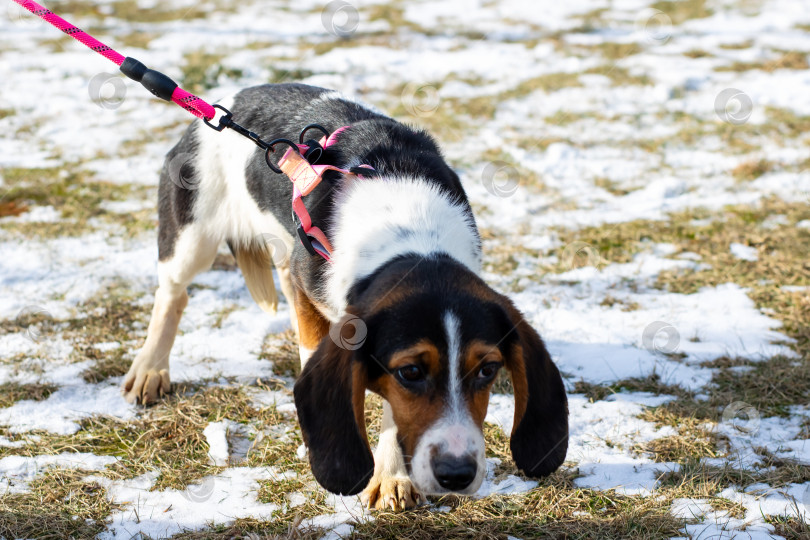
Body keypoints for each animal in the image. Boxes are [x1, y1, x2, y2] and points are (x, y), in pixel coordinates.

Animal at [121, 84, 568, 510]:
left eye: (488, 370)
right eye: (411, 372)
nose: (457, 474)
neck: (412, 238)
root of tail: (220, 106)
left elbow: (392, 413)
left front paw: (391, 477)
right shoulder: (318, 306)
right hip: (191, 241)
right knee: (173, 294)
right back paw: (150, 369)